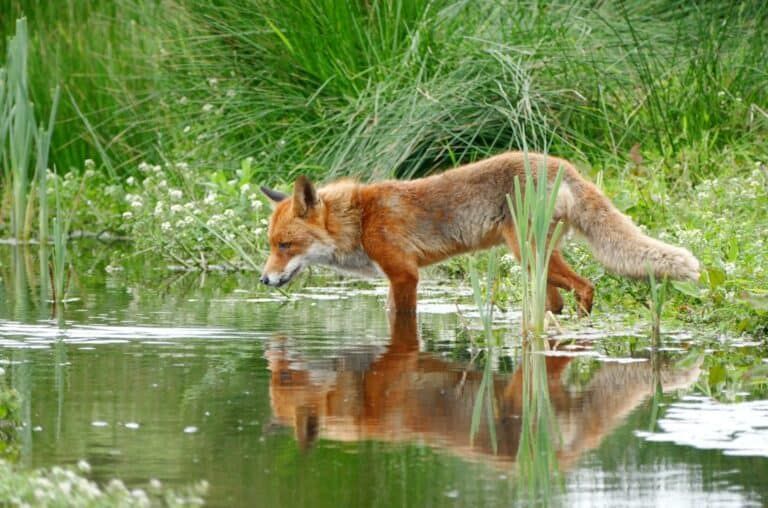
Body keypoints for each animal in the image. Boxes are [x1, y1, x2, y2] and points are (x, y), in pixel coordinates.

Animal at [260, 151, 704, 314]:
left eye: (286, 245)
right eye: (271, 246)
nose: (263, 280)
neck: (362, 219)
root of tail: (563, 164)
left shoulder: (405, 275)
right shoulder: (395, 277)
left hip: (528, 253)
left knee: (587, 285)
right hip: (536, 263)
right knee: (557, 302)